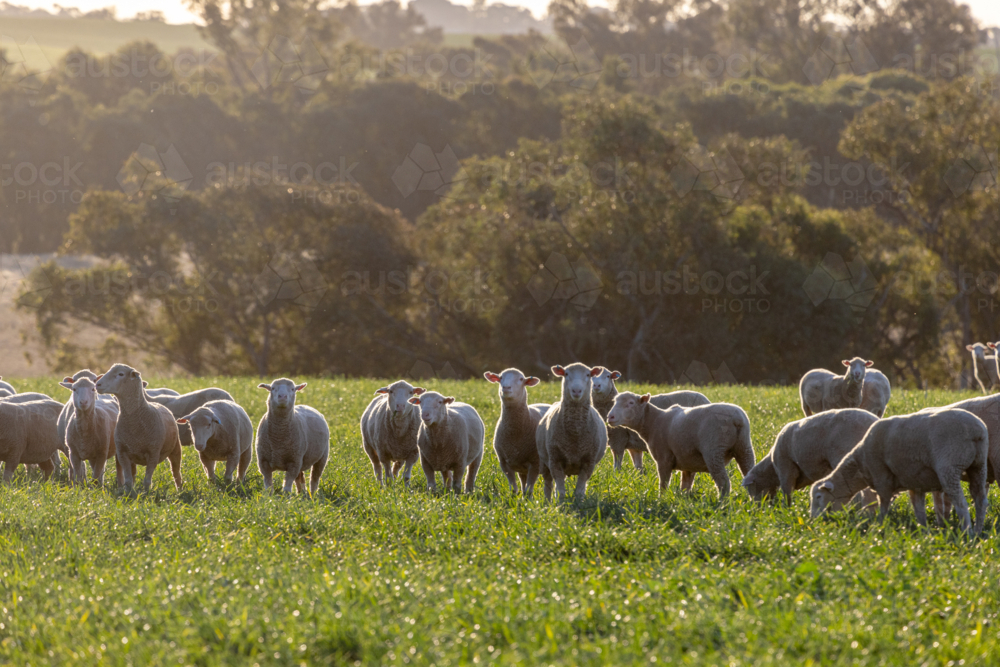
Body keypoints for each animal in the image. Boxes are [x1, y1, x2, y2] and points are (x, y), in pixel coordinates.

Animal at [94, 363, 183, 492]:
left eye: (121, 374)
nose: (98, 384)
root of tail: (159, 404)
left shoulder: (153, 453)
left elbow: (147, 481)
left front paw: (146, 494)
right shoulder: (123, 453)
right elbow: (128, 481)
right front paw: (128, 493)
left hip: (176, 449)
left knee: (176, 472)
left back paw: (180, 490)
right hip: (133, 457)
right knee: (133, 474)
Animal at [535, 363, 608, 502]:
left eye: (588, 374)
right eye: (566, 374)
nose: (576, 391)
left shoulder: (589, 462)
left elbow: (579, 489)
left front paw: (579, 503)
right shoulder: (555, 460)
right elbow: (560, 489)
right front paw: (560, 504)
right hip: (545, 463)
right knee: (548, 485)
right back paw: (548, 501)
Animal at [607, 392, 754, 498]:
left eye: (631, 403)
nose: (610, 417)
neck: (654, 421)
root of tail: (737, 419)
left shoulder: (664, 458)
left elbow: (664, 483)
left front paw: (662, 499)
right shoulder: (688, 461)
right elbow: (686, 485)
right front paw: (684, 501)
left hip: (714, 451)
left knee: (724, 482)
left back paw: (722, 503)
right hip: (744, 447)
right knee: (750, 475)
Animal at [742, 408, 878, 505]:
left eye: (750, 488)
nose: (757, 508)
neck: (771, 469)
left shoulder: (786, 469)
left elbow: (787, 493)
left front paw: (786, 510)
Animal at [810, 408, 989, 535]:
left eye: (818, 496)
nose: (813, 521)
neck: (860, 463)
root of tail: (976, 430)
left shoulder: (881, 477)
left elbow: (883, 505)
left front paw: (878, 526)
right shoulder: (915, 482)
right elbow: (919, 510)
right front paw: (924, 533)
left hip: (949, 466)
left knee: (961, 503)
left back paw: (967, 534)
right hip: (979, 466)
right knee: (980, 500)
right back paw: (978, 531)